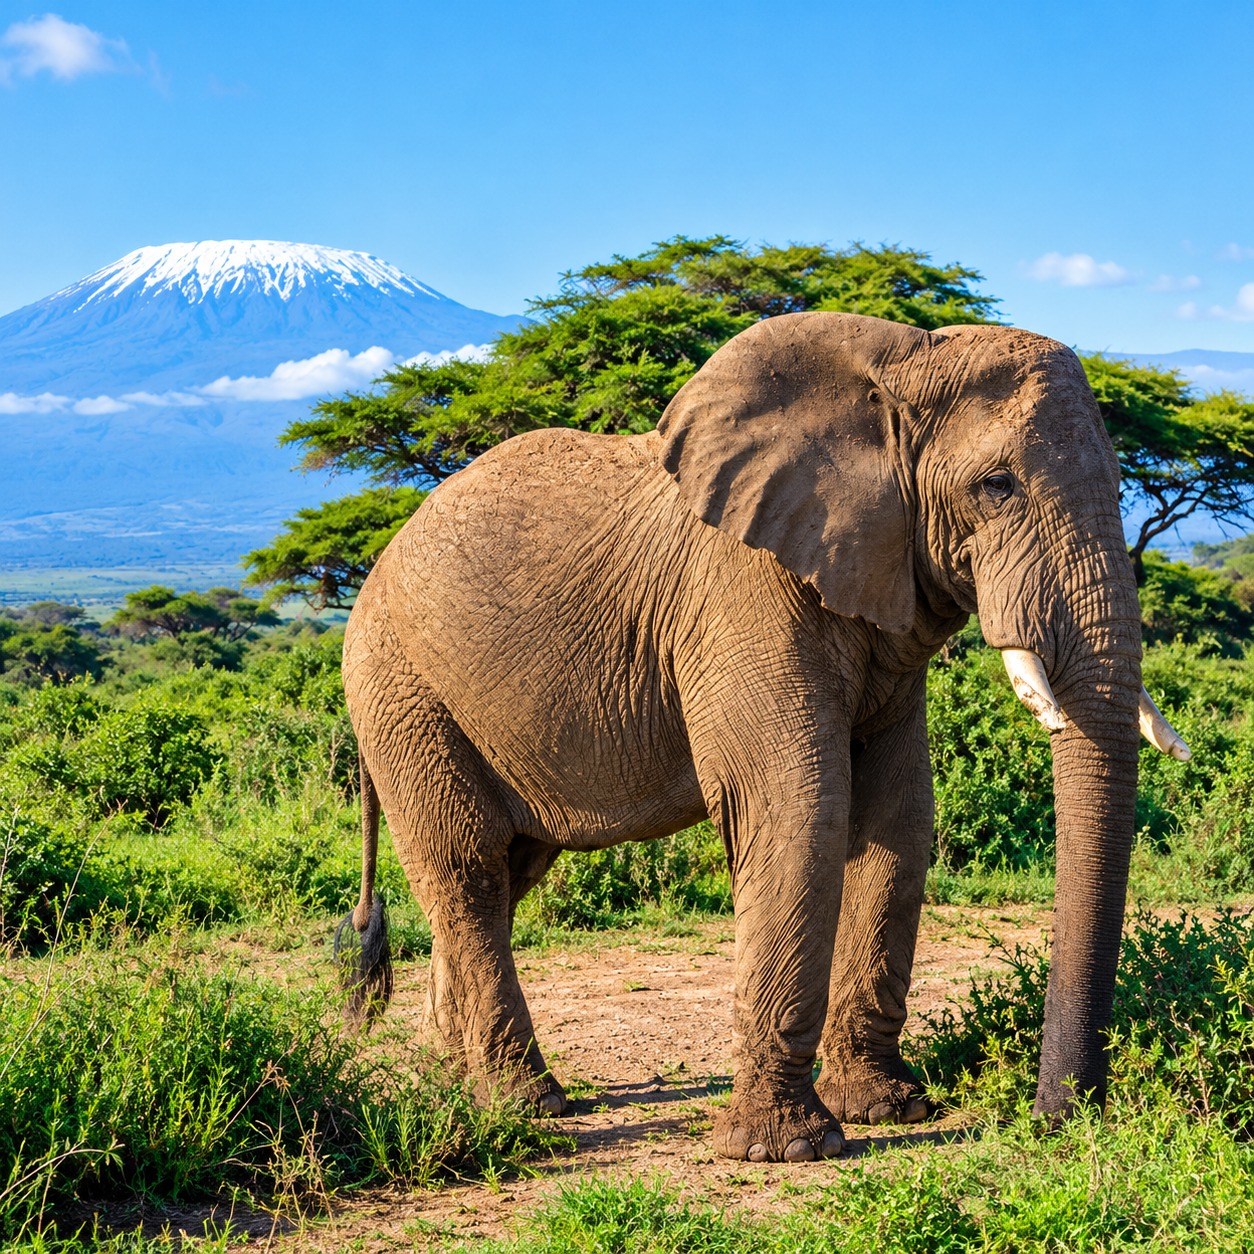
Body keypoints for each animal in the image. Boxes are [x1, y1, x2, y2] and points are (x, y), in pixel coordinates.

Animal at [336, 310, 1189, 1164]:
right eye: (997, 486)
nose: (1059, 1116)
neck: (900, 360)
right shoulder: (739, 590)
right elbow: (798, 806)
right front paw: (787, 1150)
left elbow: (900, 816)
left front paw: (886, 1108)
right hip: (400, 687)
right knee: (468, 866)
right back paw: (527, 1104)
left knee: (510, 870)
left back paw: (453, 1082)